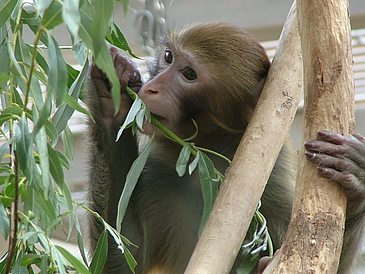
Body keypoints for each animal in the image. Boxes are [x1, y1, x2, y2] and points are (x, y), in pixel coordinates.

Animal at [84, 22, 364, 272]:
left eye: (189, 74)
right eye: (168, 57)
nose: (152, 88)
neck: (207, 156)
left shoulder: (272, 179)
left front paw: (355, 181)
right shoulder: (158, 168)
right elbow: (124, 256)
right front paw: (110, 95)